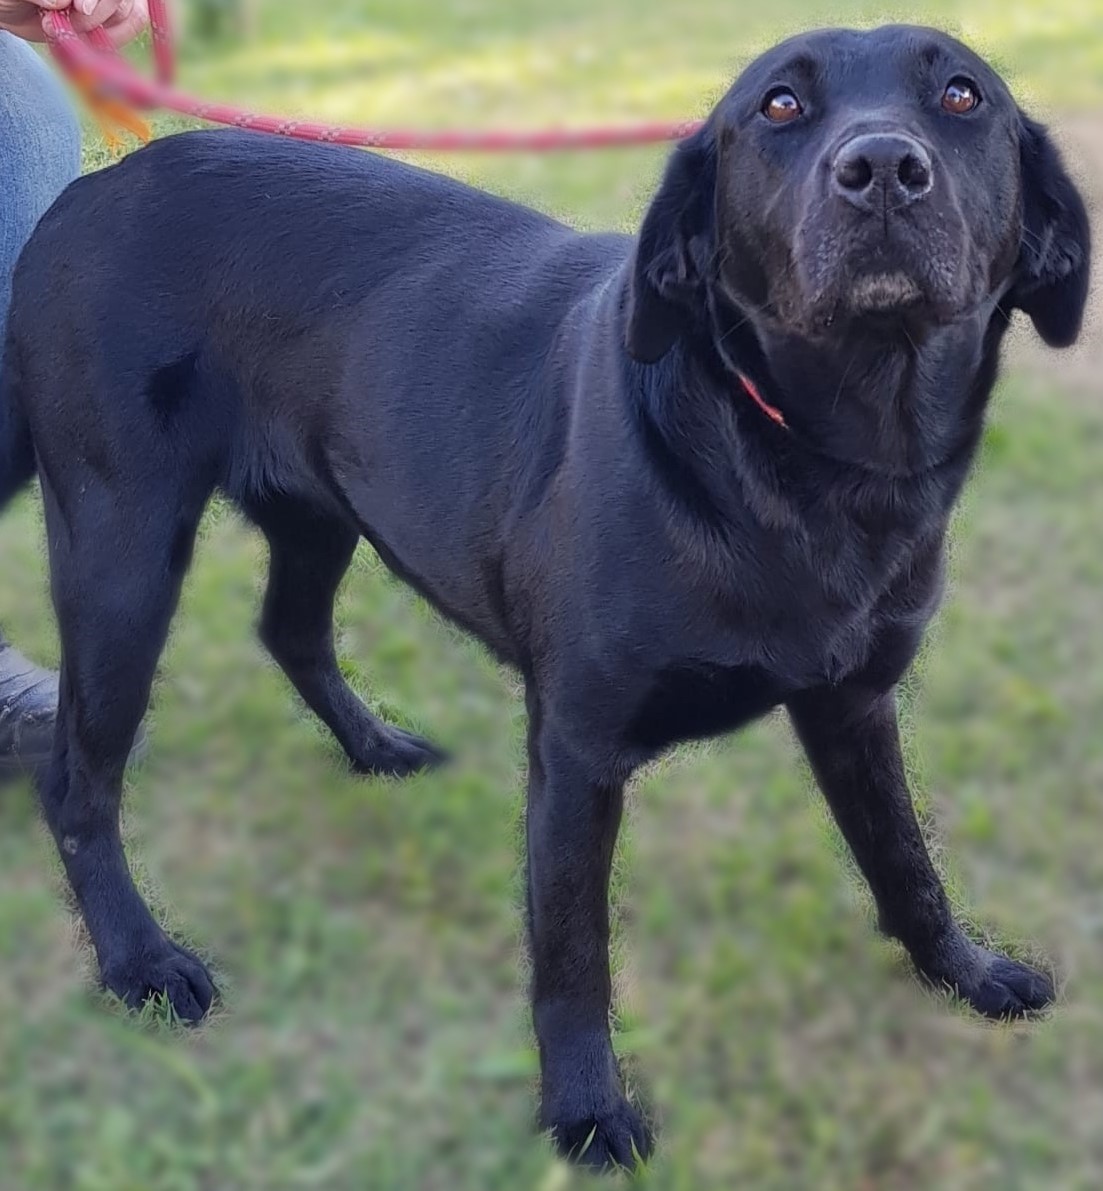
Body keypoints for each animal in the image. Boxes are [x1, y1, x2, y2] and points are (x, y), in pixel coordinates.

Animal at [0, 23, 1091, 1167]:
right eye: (780, 107)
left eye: (961, 95)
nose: (880, 167)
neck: (820, 466)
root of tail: (86, 192)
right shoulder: (576, 749)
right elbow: (573, 952)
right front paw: (585, 1110)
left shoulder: (853, 705)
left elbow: (904, 860)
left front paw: (962, 970)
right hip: (122, 555)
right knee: (78, 783)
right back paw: (139, 959)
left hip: (321, 509)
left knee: (287, 629)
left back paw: (372, 746)